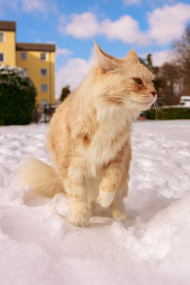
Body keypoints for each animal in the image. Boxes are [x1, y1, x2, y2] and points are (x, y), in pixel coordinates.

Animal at [19, 41, 157, 226]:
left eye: (152, 81)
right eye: (137, 81)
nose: (155, 92)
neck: (110, 116)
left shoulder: (118, 158)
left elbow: (111, 183)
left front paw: (104, 199)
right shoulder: (73, 167)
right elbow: (78, 196)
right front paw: (79, 219)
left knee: (118, 202)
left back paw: (120, 219)